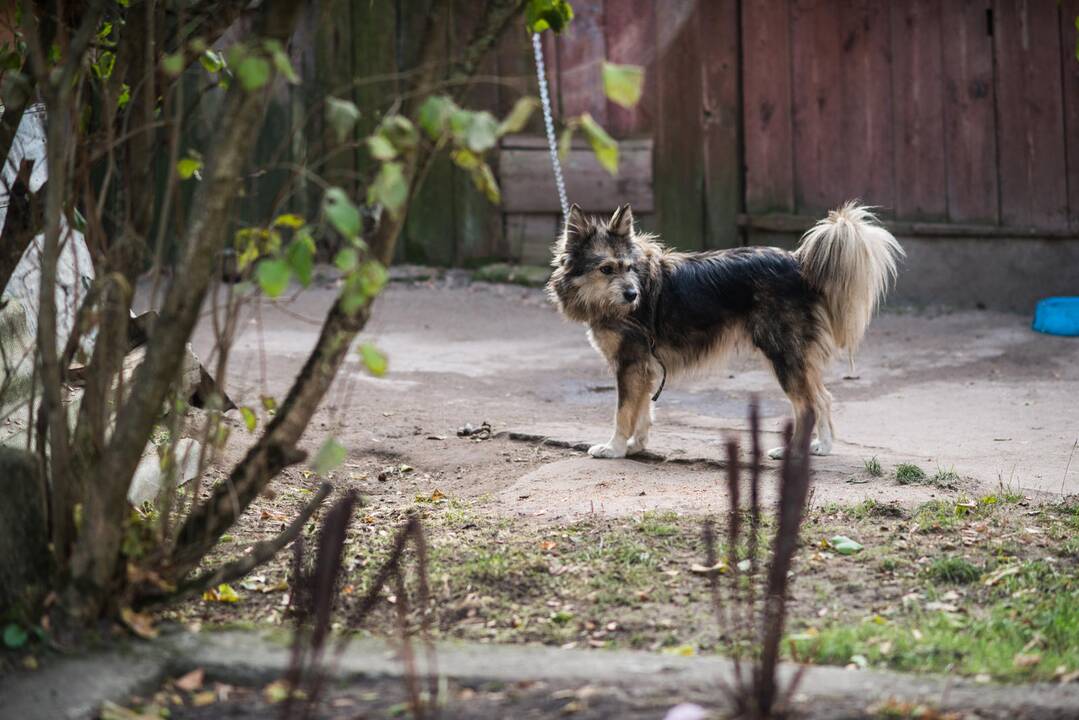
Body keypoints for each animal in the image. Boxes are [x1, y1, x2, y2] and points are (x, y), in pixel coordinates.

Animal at [548, 201, 902, 462]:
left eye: (629, 268)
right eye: (606, 269)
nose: (633, 295)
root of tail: (799, 262)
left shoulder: (630, 363)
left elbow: (623, 412)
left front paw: (615, 448)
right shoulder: (644, 366)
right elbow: (643, 410)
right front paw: (637, 445)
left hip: (783, 354)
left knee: (808, 406)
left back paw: (793, 452)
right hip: (795, 356)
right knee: (823, 398)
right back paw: (824, 447)